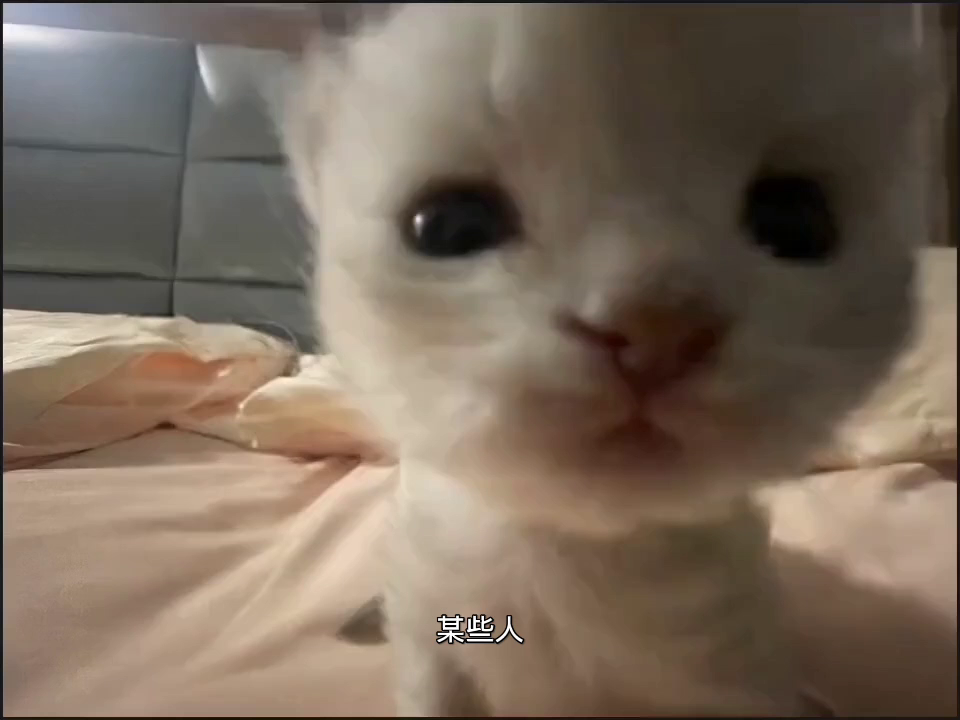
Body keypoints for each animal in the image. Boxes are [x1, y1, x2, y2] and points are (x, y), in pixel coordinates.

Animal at [282, 4, 933, 716]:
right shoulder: (430, 636)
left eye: (797, 219)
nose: (655, 326)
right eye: (450, 225)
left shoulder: (736, 670)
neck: (568, 567)